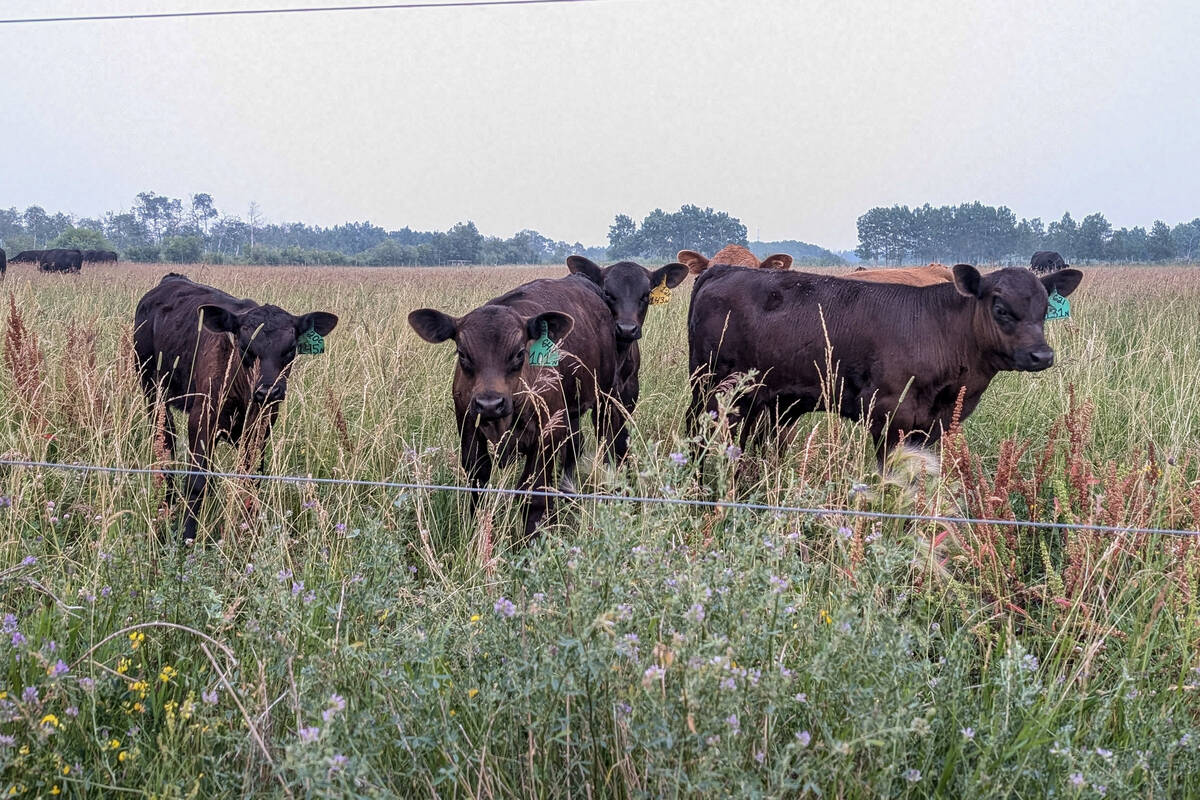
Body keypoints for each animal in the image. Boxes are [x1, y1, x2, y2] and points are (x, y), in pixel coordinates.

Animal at [133, 273, 339, 542]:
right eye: (244, 347)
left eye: (291, 348)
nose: (268, 391)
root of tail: (171, 279)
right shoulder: (202, 418)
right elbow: (197, 481)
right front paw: (187, 535)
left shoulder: (261, 426)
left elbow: (252, 479)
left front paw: (249, 531)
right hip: (152, 390)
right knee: (165, 445)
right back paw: (167, 506)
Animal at [409, 275, 617, 539]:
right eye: (462, 353)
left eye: (519, 353)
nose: (490, 404)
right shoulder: (468, 426)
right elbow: (478, 478)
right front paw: (477, 529)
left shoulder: (548, 434)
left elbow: (533, 491)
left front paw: (532, 539)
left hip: (604, 397)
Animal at [564, 255, 689, 459]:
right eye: (607, 293)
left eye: (645, 295)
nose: (626, 329)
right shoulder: (601, 399)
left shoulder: (628, 395)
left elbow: (620, 440)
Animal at [687, 263, 1083, 460]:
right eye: (1000, 308)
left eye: (1045, 309)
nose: (1041, 355)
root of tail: (724, 269)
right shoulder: (888, 414)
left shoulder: (933, 425)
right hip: (713, 388)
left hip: (760, 398)